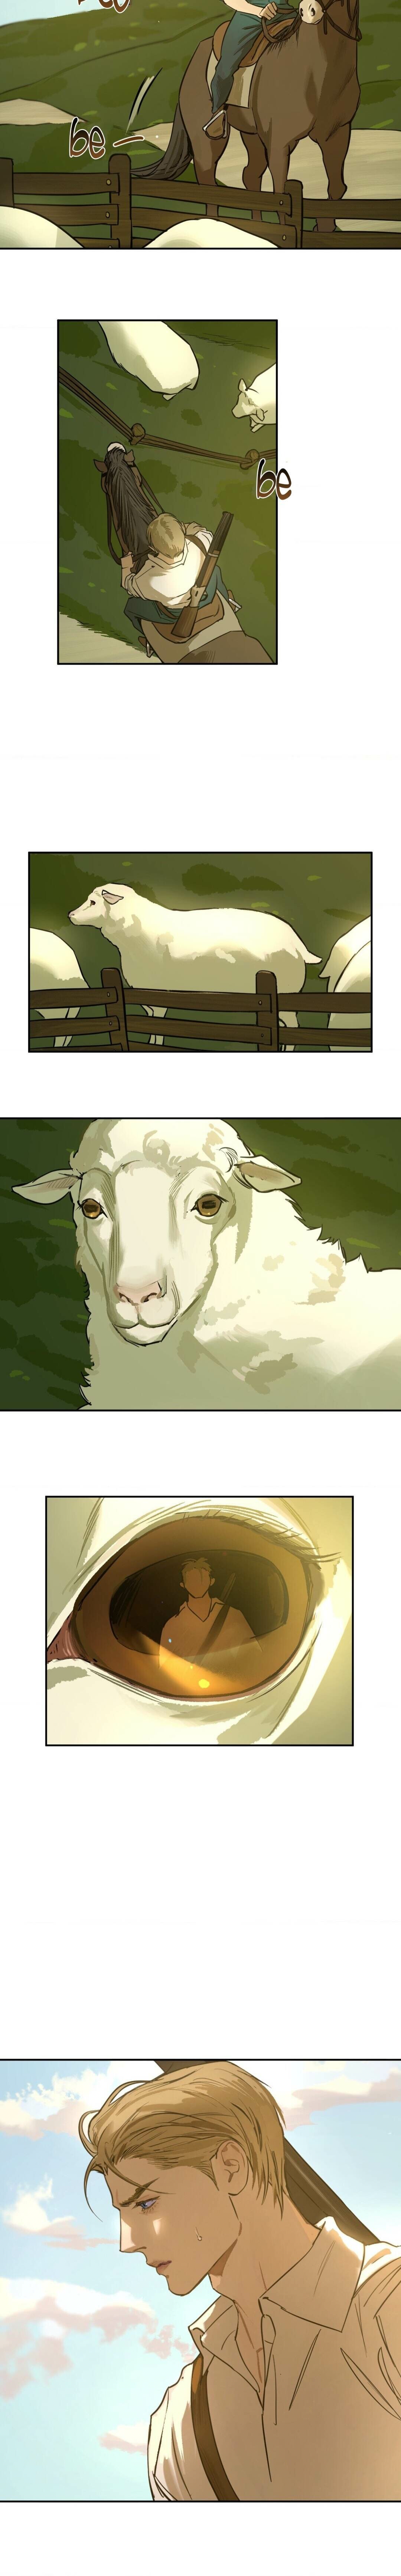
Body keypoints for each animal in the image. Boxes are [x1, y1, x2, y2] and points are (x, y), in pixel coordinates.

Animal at [69, 882, 319, 1047]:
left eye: (93, 902)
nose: (71, 915)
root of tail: (295, 940)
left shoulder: (159, 994)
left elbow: (157, 1028)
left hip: (286, 994)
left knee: (293, 1029)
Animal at [232, 365, 276, 432]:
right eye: (239, 398)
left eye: (253, 407)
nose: (234, 413)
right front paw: (252, 425)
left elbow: (258, 426)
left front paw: (253, 429)